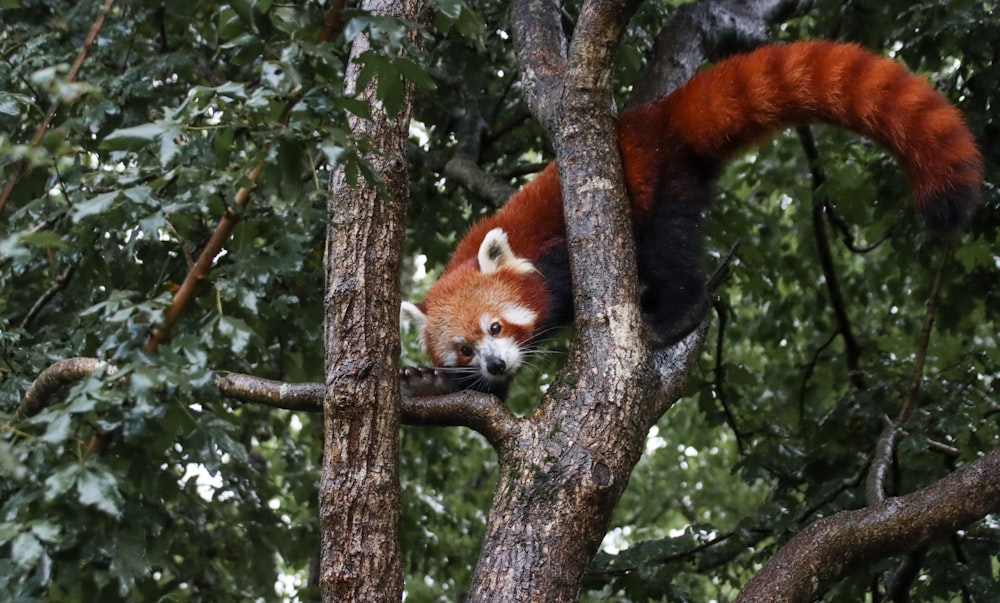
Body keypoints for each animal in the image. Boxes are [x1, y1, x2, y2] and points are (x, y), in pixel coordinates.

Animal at [398, 40, 976, 398]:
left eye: (496, 326)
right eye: (465, 348)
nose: (494, 363)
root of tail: (653, 117)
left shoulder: (554, 256)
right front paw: (442, 380)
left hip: (661, 181)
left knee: (669, 249)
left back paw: (675, 312)